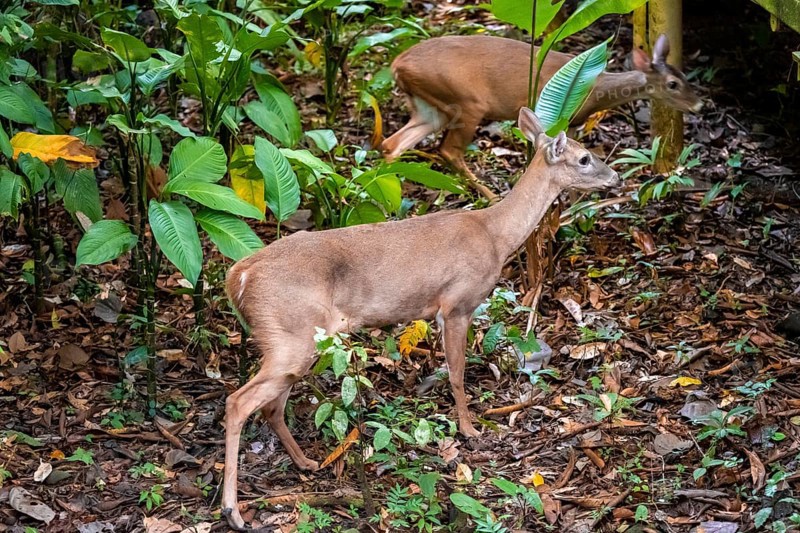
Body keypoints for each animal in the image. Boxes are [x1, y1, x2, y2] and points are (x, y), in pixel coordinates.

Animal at [221, 107, 619, 530]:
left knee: (271, 406)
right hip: (291, 332)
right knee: (239, 402)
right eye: (584, 158)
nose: (616, 177)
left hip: (294, 338)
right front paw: (469, 429)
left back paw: (307, 463)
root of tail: (239, 275)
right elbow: (457, 372)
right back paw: (233, 511)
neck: (495, 235)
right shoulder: (457, 302)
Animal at [381, 34, 702, 199]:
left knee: (391, 144)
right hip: (466, 101)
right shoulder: (562, 118)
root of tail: (397, 64)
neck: (596, 87)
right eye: (673, 84)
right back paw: (490, 195)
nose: (698, 105)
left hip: (429, 107)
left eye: (685, 77)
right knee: (448, 149)